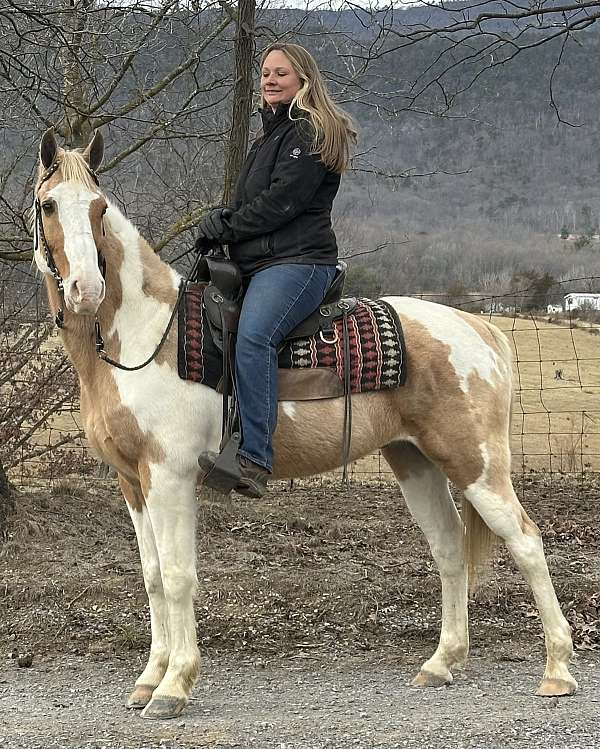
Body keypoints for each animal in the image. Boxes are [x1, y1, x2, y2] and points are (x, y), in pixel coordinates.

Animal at [31, 129, 576, 720]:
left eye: (100, 208)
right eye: (49, 205)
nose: (86, 289)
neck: (149, 335)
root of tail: (478, 328)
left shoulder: (170, 476)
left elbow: (178, 577)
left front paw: (174, 685)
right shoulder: (133, 481)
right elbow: (153, 577)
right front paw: (149, 679)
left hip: (475, 464)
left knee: (526, 542)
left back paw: (557, 670)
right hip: (415, 460)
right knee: (449, 548)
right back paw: (441, 663)